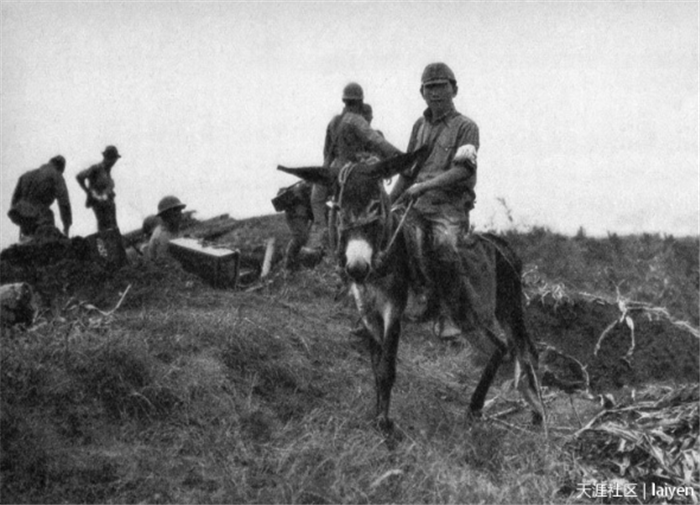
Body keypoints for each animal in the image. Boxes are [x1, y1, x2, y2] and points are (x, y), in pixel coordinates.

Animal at [278, 151, 545, 433]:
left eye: (375, 206)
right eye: (338, 209)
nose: (357, 268)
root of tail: (500, 243)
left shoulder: (393, 309)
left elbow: (387, 367)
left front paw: (385, 425)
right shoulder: (368, 312)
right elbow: (376, 367)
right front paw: (377, 416)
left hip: (501, 307)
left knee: (526, 351)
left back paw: (534, 413)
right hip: (467, 317)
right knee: (500, 348)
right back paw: (478, 410)